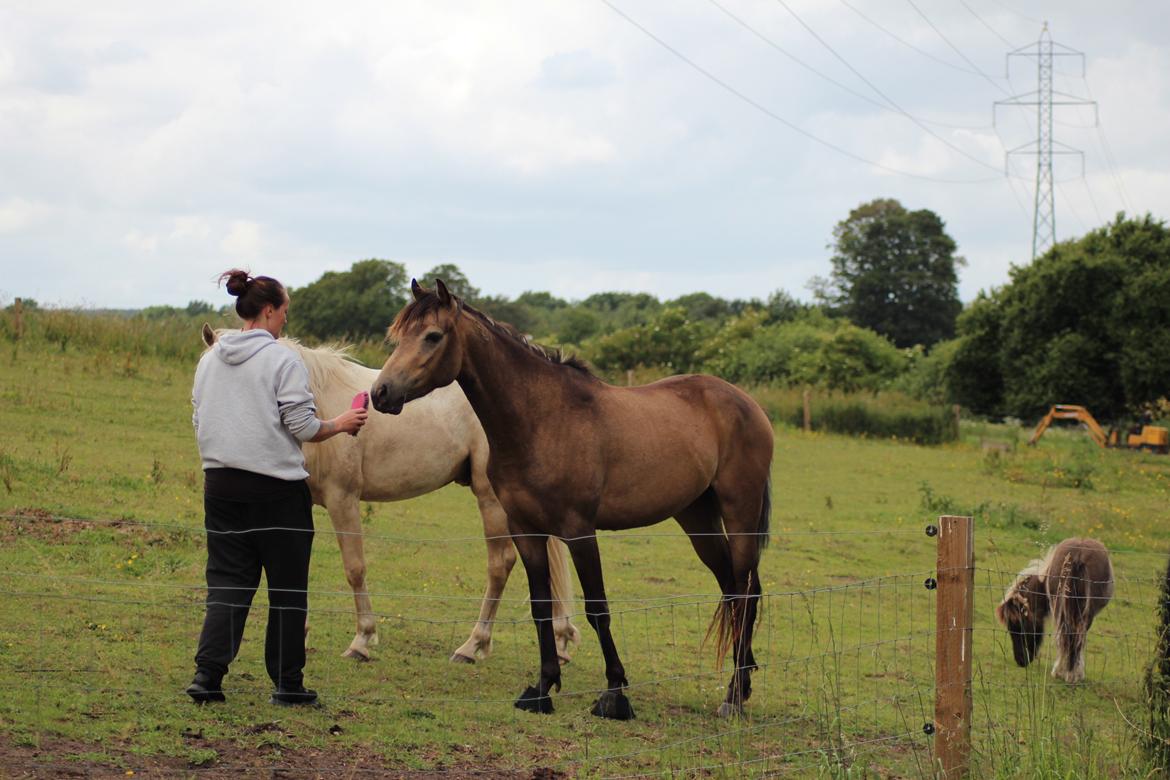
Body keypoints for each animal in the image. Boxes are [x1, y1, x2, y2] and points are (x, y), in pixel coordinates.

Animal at [207, 325, 585, 664]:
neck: (321, 407)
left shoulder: (343, 499)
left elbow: (355, 567)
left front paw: (362, 640)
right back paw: (560, 641)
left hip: (490, 499)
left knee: (500, 564)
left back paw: (473, 645)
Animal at [369, 281, 772, 720]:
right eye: (399, 336)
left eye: (432, 336)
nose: (380, 393)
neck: (542, 419)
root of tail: (746, 403)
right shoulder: (525, 530)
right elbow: (540, 607)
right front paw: (543, 688)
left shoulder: (579, 532)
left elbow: (598, 609)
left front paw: (614, 694)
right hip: (697, 518)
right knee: (734, 590)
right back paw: (743, 685)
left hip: (740, 514)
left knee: (746, 592)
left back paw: (733, 696)